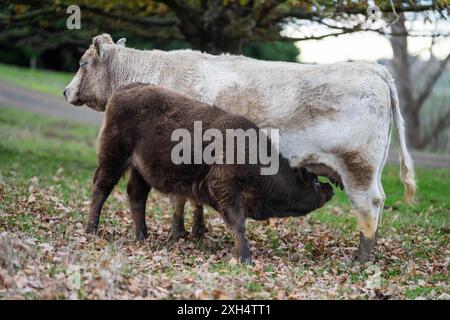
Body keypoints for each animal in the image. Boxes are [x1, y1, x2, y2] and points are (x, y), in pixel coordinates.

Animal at [64, 33, 414, 262]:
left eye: (82, 63)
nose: (66, 91)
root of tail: (374, 69)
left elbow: (178, 199)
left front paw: (179, 233)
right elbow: (192, 199)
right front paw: (197, 231)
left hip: (359, 168)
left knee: (369, 207)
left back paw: (361, 259)